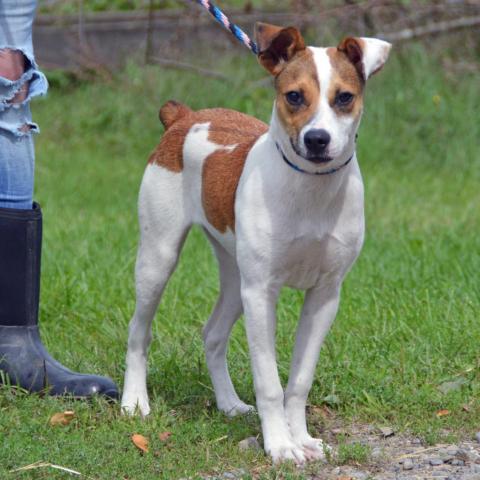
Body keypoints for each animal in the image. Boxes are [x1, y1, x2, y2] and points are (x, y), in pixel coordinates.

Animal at [122, 23, 392, 464]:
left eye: (344, 97)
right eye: (294, 96)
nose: (317, 139)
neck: (310, 192)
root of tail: (185, 117)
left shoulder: (324, 296)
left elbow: (299, 381)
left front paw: (302, 438)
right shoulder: (263, 293)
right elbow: (269, 383)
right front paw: (280, 445)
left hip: (236, 280)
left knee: (213, 335)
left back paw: (229, 404)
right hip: (159, 259)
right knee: (138, 332)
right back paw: (133, 401)